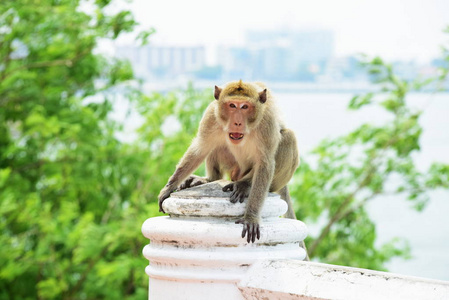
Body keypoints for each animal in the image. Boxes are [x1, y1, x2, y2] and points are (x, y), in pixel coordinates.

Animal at [158, 78, 304, 252]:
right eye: (232, 105)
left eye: (245, 107)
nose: (237, 122)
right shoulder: (211, 116)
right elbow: (200, 148)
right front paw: (168, 187)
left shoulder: (267, 124)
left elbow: (265, 164)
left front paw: (251, 216)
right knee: (216, 144)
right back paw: (210, 179)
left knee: (288, 137)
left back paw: (244, 184)